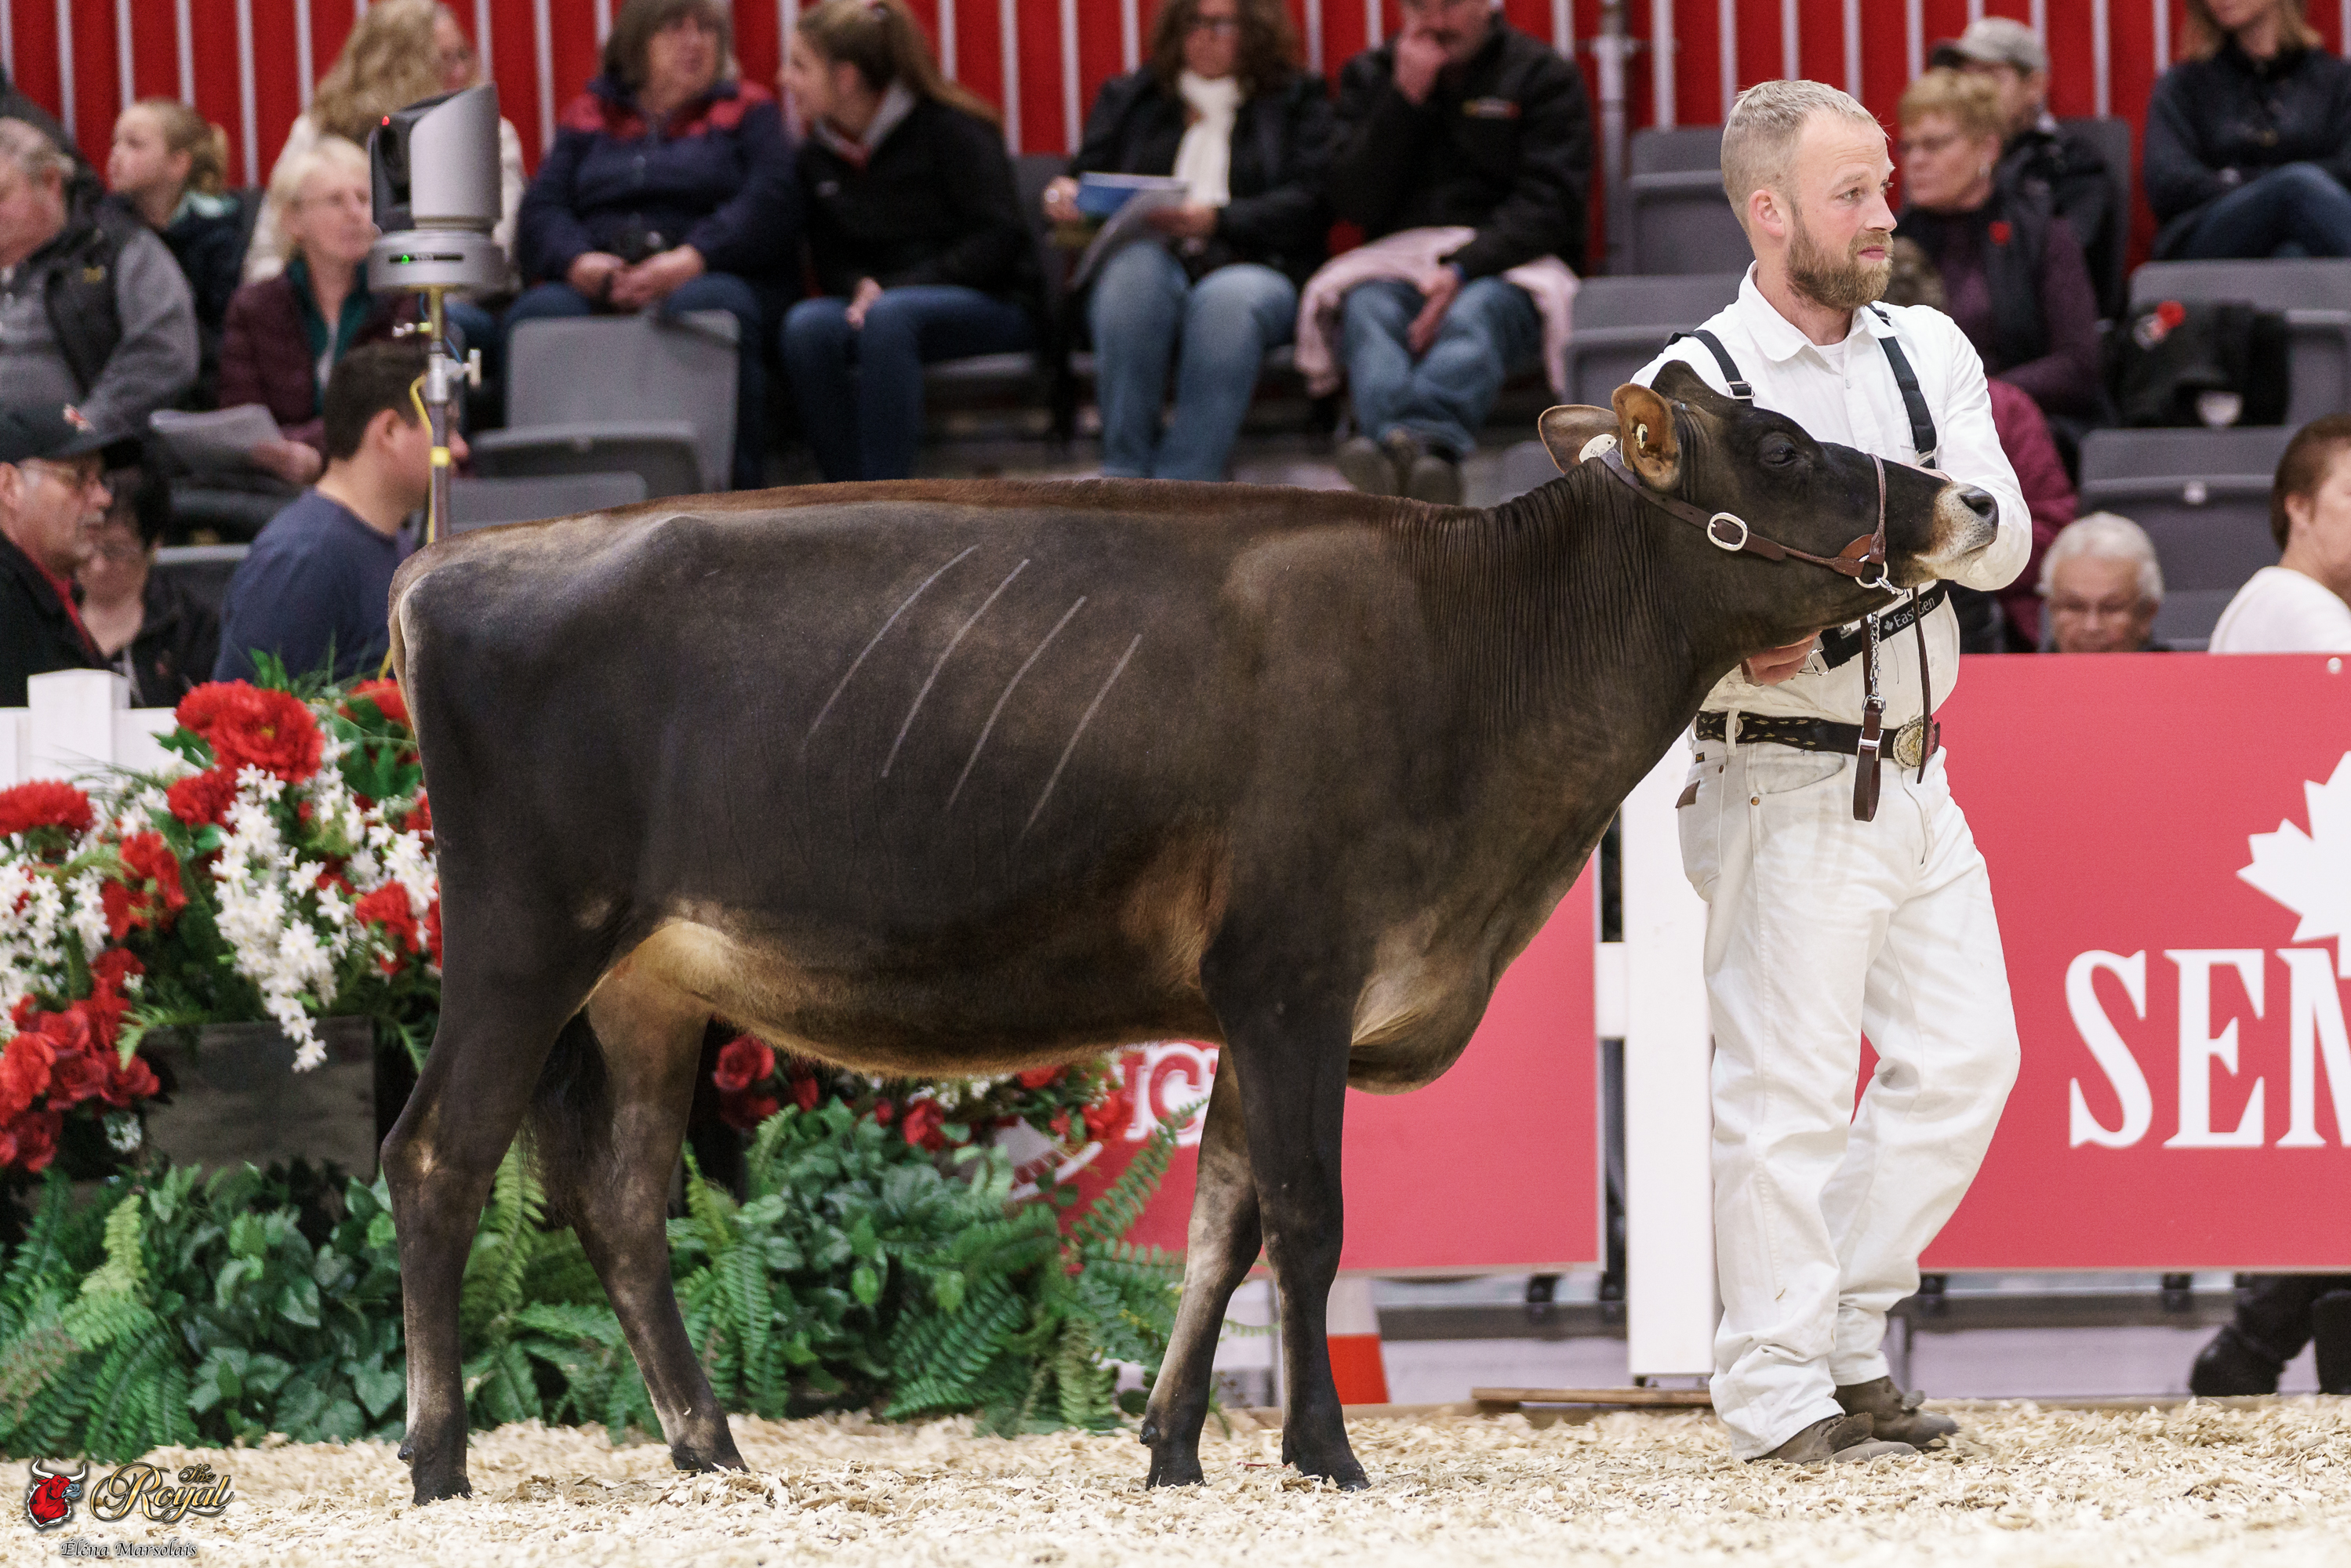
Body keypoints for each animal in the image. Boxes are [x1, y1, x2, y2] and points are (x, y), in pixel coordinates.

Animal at [380, 363, 1999, 1504]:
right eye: (1779, 446)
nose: (1970, 503)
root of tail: (451, 565)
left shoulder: (1253, 1003)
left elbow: (1221, 1222)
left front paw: (1171, 1446)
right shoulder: (1291, 977)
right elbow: (1307, 1220)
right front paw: (1325, 1454)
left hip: (647, 981)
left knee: (618, 1198)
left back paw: (710, 1447)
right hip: (524, 937)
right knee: (438, 1156)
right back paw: (440, 1457)